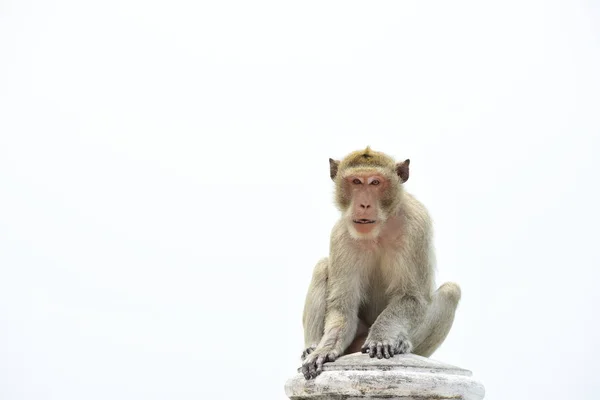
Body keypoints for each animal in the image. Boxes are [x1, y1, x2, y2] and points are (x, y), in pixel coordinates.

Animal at [298, 147, 460, 378]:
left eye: (375, 182)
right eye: (356, 181)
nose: (364, 204)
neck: (380, 229)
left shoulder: (417, 226)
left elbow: (411, 297)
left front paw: (381, 337)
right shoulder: (341, 235)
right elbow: (343, 305)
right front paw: (325, 348)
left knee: (450, 291)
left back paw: (402, 344)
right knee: (322, 267)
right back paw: (311, 346)